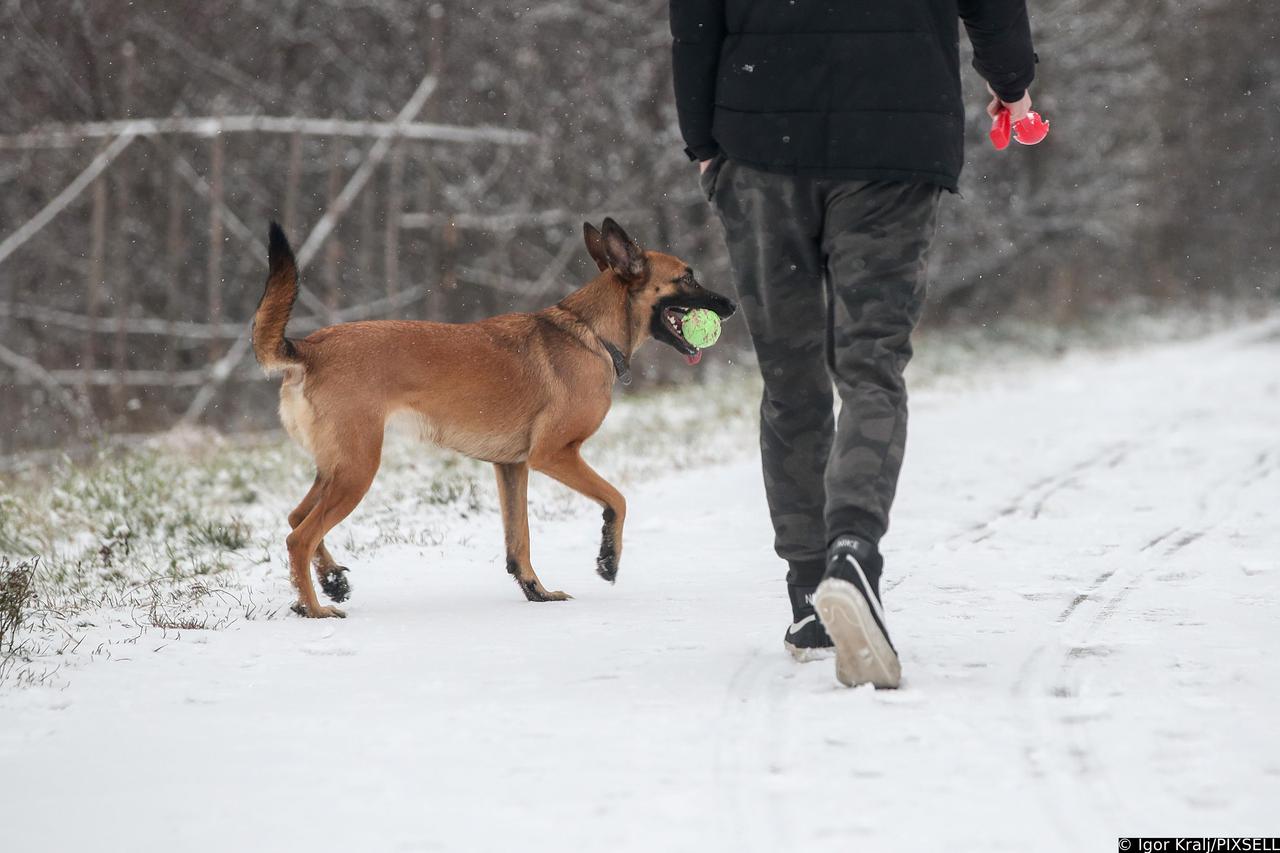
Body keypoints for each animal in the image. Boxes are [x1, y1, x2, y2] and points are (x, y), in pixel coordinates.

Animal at [254, 219, 737, 614]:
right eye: (686, 276)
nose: (731, 305)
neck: (590, 333)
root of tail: (309, 350)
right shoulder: (554, 455)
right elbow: (616, 499)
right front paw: (607, 558)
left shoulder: (512, 467)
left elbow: (519, 539)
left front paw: (537, 591)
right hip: (357, 470)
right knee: (299, 536)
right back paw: (314, 608)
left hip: (337, 468)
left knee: (296, 519)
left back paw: (329, 581)